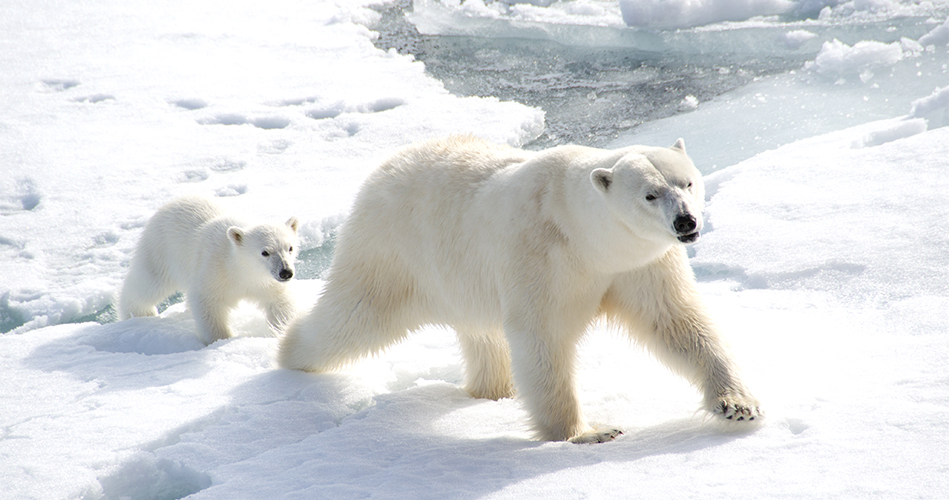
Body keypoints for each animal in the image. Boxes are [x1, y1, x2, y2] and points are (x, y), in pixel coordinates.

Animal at [278, 136, 760, 442]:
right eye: (650, 194)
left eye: (688, 182)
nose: (686, 222)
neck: (586, 235)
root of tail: (385, 165)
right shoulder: (541, 255)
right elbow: (542, 335)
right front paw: (587, 432)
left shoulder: (640, 264)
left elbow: (676, 322)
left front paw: (738, 405)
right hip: (393, 251)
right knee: (352, 317)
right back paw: (288, 355)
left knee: (483, 336)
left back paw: (493, 391)